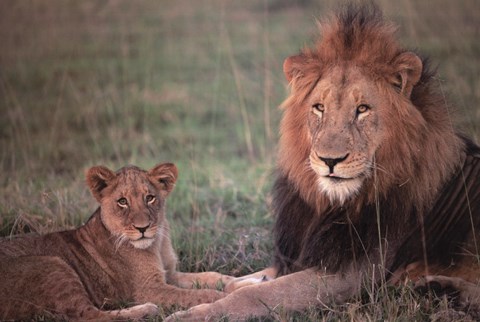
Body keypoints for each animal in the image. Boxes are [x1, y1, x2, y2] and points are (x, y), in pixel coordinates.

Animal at [0, 162, 232, 320]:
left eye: (150, 198)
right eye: (122, 202)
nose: (142, 228)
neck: (156, 244)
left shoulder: (170, 274)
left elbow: (210, 276)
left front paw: (232, 282)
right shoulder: (147, 288)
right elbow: (196, 294)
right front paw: (221, 297)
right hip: (52, 264)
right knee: (90, 315)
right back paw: (147, 309)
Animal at [168, 3, 480, 320]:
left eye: (362, 109)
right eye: (319, 107)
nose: (330, 160)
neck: (331, 205)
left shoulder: (352, 273)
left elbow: (256, 294)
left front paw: (192, 314)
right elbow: (236, 281)